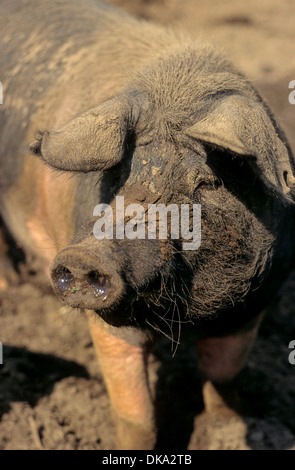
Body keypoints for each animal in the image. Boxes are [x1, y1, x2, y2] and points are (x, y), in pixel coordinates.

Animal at [0, 0, 295, 450]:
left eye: (207, 181)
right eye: (120, 174)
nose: (85, 255)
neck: (185, 316)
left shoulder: (253, 306)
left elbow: (223, 379)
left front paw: (228, 426)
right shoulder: (107, 326)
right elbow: (136, 413)